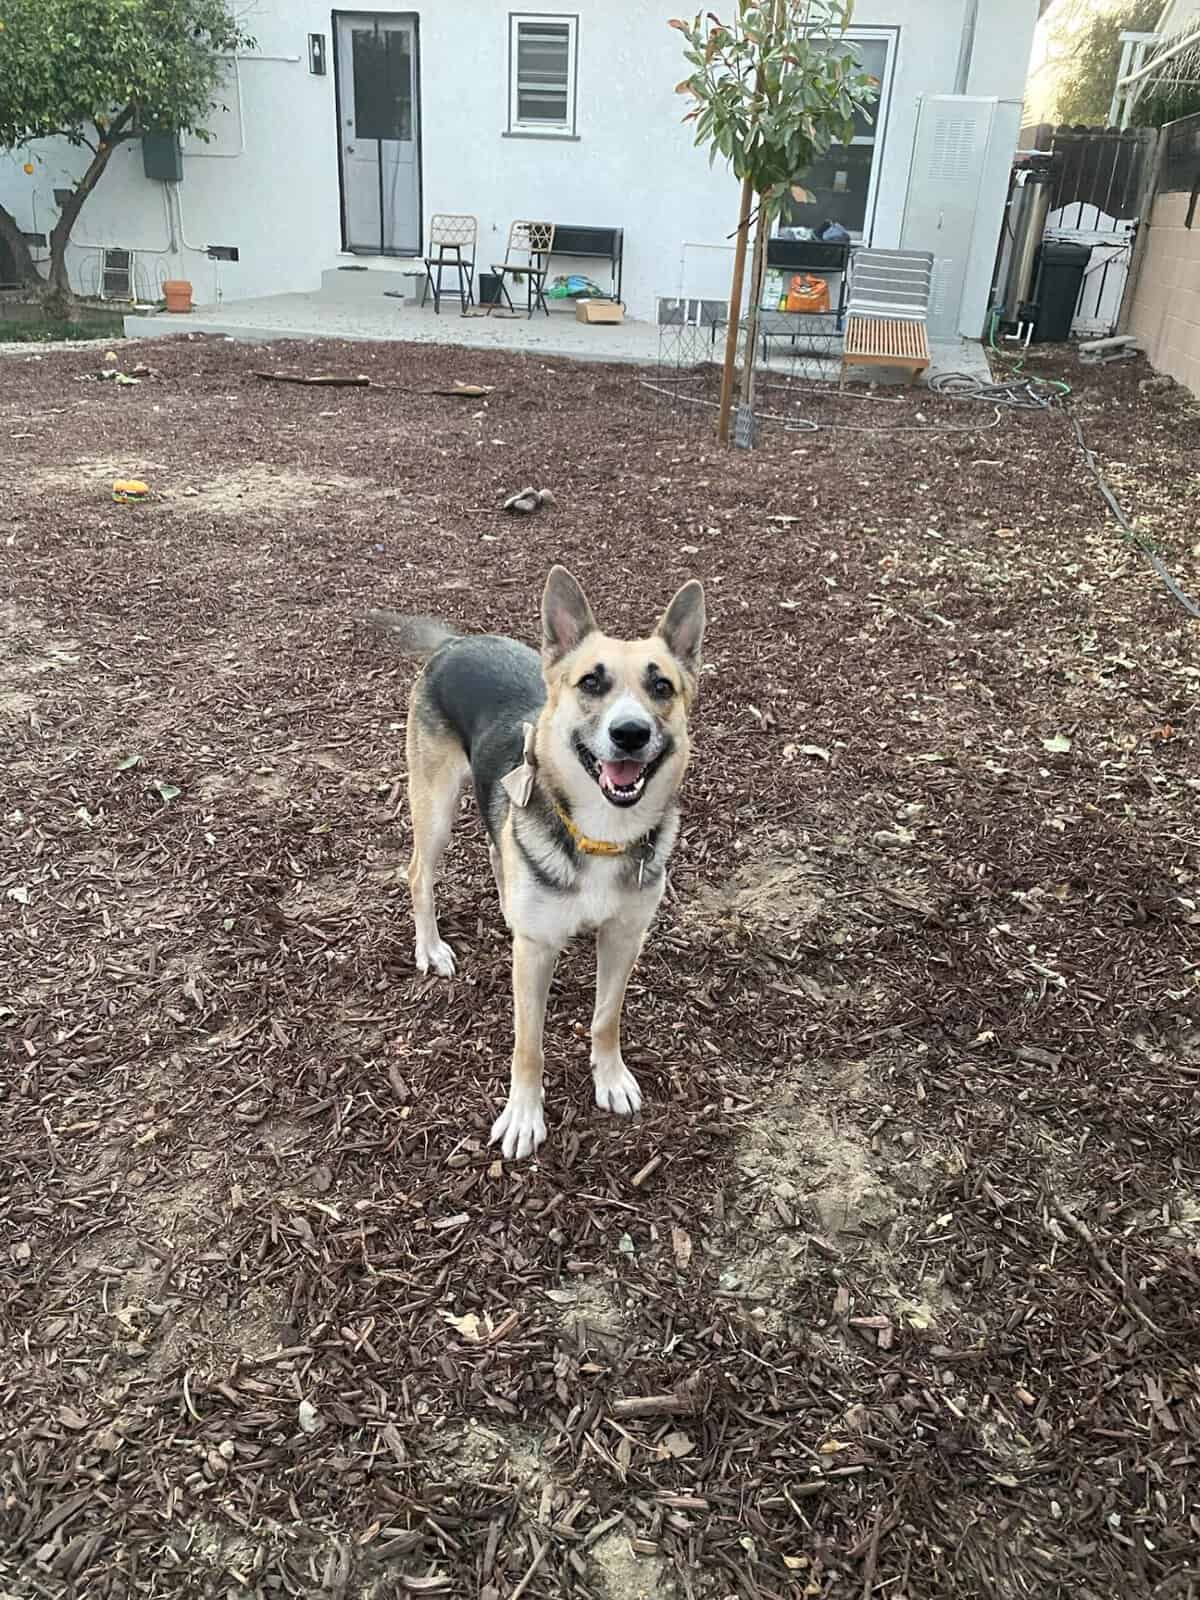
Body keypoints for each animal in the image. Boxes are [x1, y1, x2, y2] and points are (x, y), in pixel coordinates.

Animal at [369, 569, 704, 1158]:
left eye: (662, 687)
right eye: (591, 683)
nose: (631, 733)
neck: (601, 836)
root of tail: (457, 641)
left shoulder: (624, 937)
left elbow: (606, 1018)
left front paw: (610, 1078)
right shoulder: (535, 956)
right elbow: (529, 1045)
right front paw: (524, 1115)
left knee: (496, 847)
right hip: (435, 806)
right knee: (419, 875)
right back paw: (431, 947)